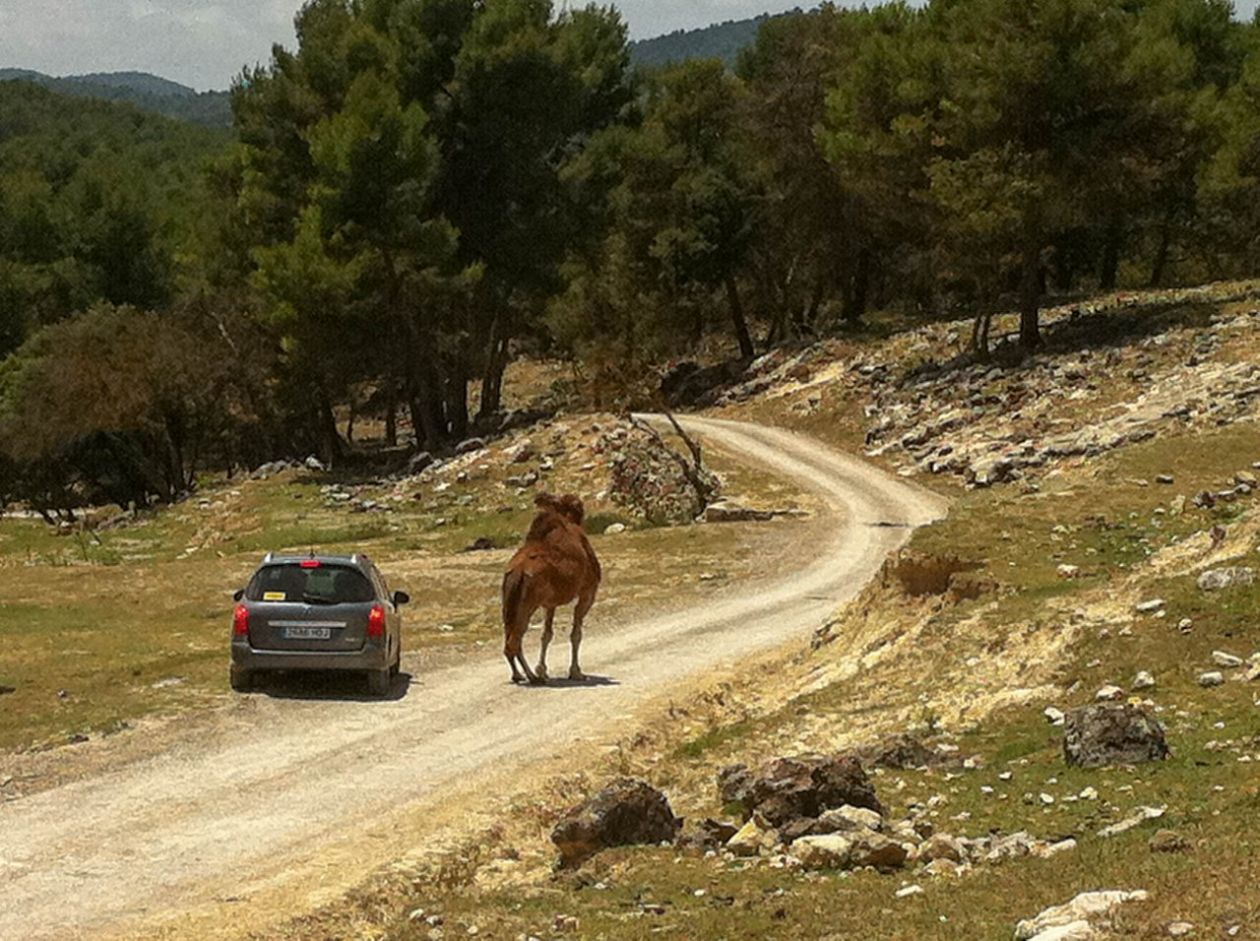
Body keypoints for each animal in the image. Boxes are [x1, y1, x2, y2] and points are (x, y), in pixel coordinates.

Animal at [498, 493, 602, 685]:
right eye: (579, 506)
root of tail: (517, 572)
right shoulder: (588, 592)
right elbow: (576, 634)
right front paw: (576, 672)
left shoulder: (549, 603)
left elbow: (546, 634)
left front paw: (543, 670)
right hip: (527, 603)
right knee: (514, 641)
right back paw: (531, 676)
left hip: (508, 601)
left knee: (510, 637)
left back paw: (521, 675)